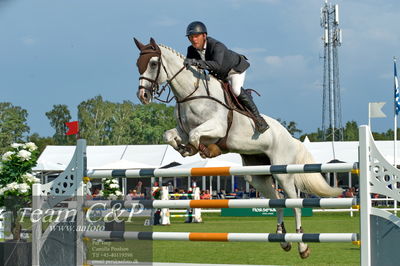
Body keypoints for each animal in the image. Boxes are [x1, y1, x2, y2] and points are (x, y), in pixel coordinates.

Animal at [132, 37, 340, 258]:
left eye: (153, 63)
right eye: (138, 64)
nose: (143, 95)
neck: (191, 94)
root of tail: (293, 139)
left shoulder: (217, 128)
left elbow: (197, 135)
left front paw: (206, 150)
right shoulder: (182, 130)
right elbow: (171, 136)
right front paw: (186, 149)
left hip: (283, 173)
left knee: (294, 204)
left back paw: (302, 246)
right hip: (258, 176)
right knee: (277, 201)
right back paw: (282, 239)